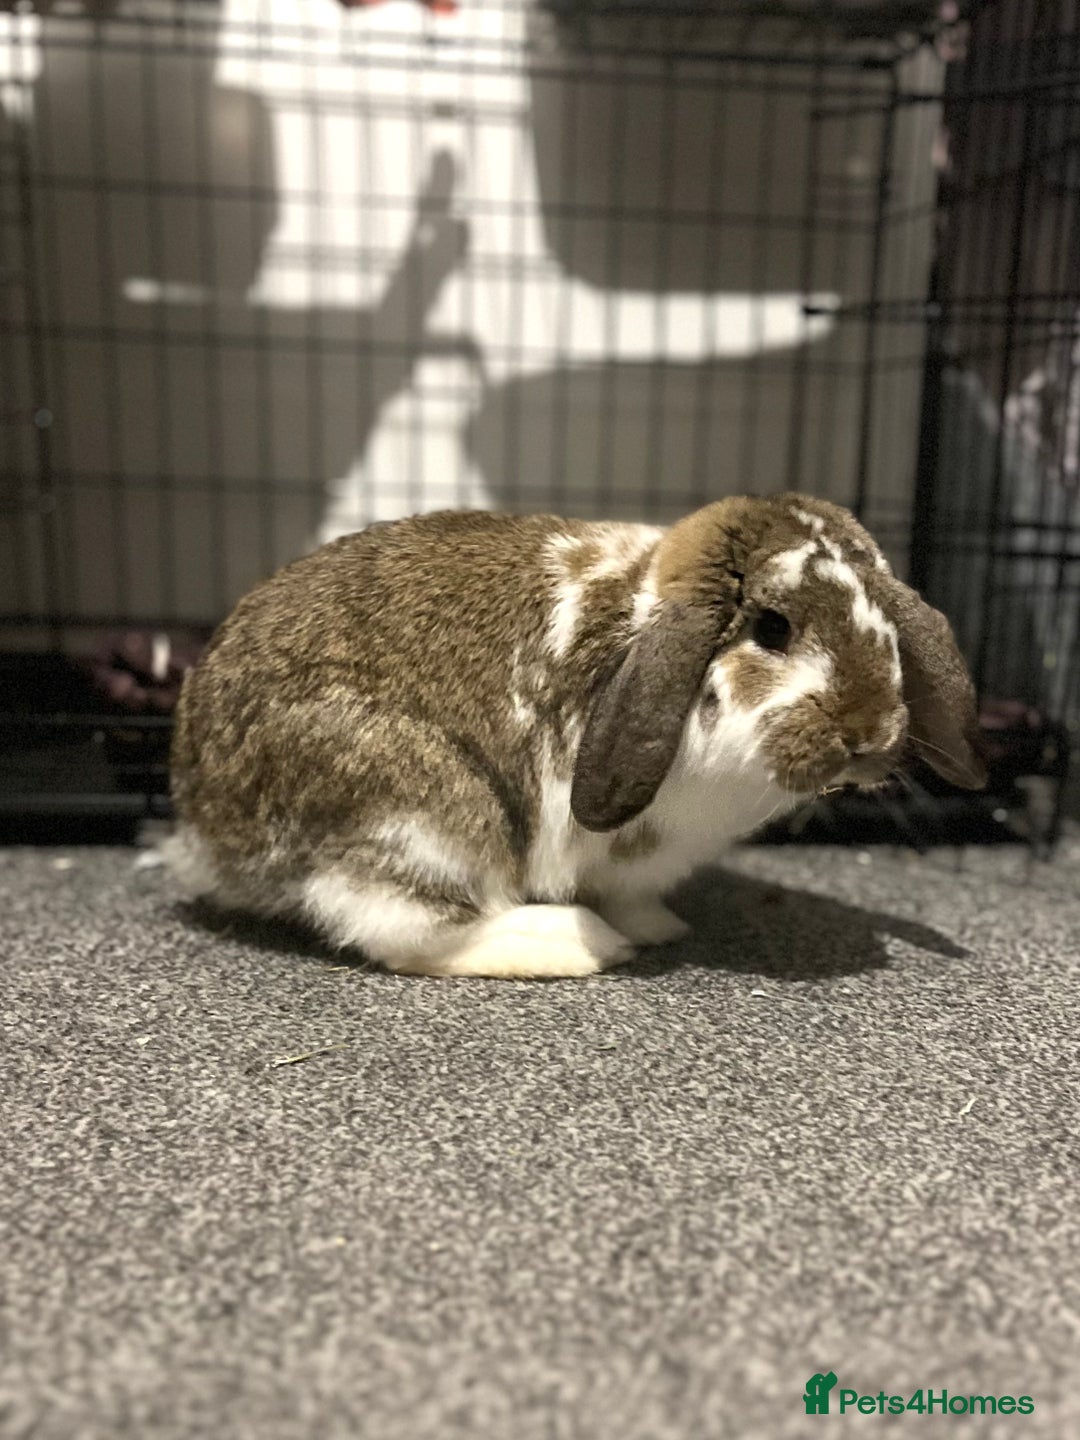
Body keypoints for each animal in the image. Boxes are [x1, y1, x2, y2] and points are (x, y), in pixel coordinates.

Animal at [165, 494, 986, 978]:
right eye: (772, 627)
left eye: (884, 619)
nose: (870, 734)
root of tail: (210, 827)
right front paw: (628, 934)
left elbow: (637, 895)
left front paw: (662, 927)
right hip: (423, 808)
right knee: (400, 926)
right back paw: (568, 942)